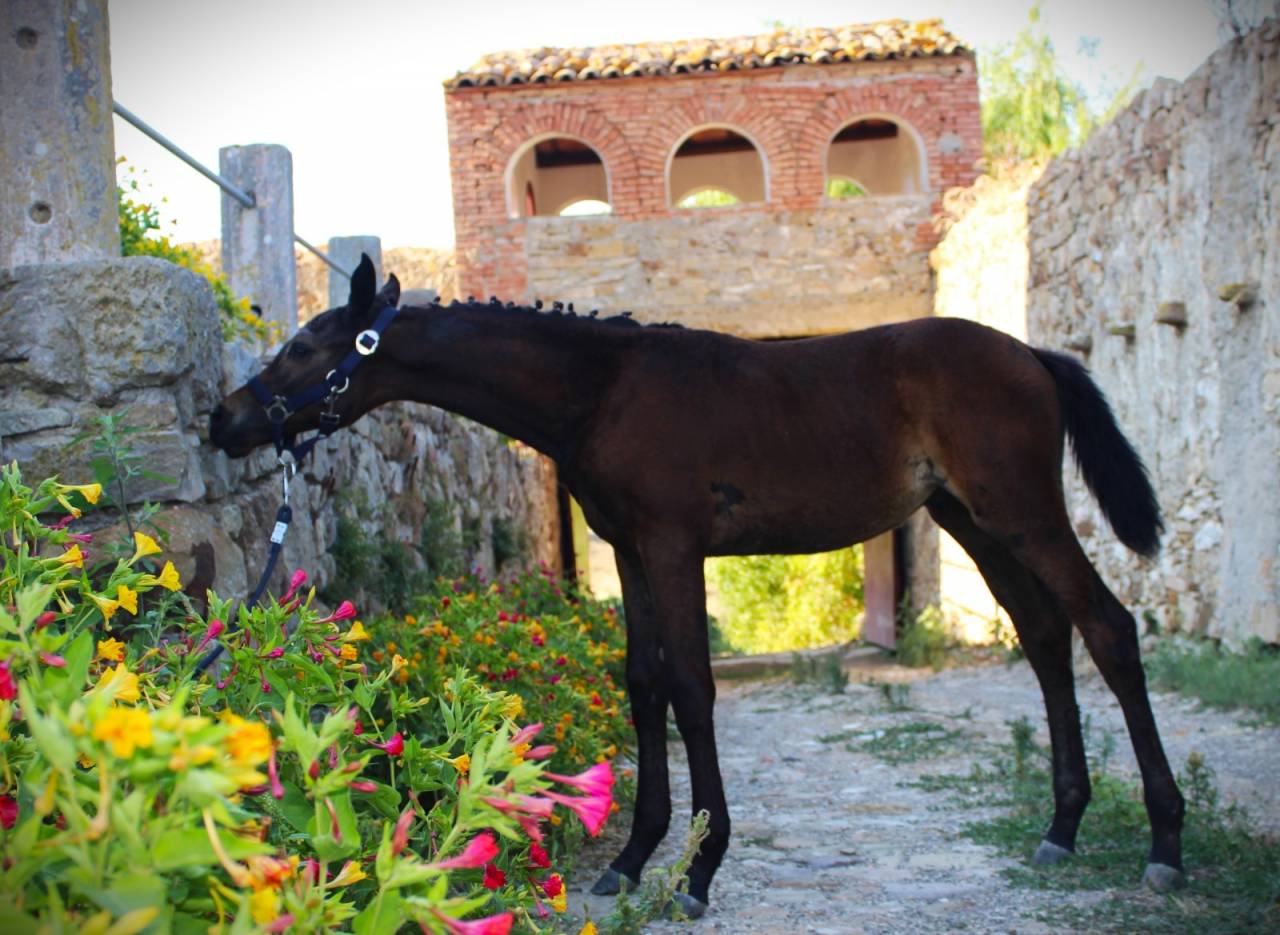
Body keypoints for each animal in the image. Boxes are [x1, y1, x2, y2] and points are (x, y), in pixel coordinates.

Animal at [209, 254, 1185, 917]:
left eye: (303, 344)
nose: (225, 418)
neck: (600, 388)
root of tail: (1033, 354)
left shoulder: (675, 545)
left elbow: (691, 686)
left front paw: (700, 868)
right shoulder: (632, 550)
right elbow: (644, 685)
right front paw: (633, 855)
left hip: (1020, 508)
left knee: (1108, 626)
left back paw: (1166, 841)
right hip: (970, 518)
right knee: (1044, 633)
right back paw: (1061, 827)